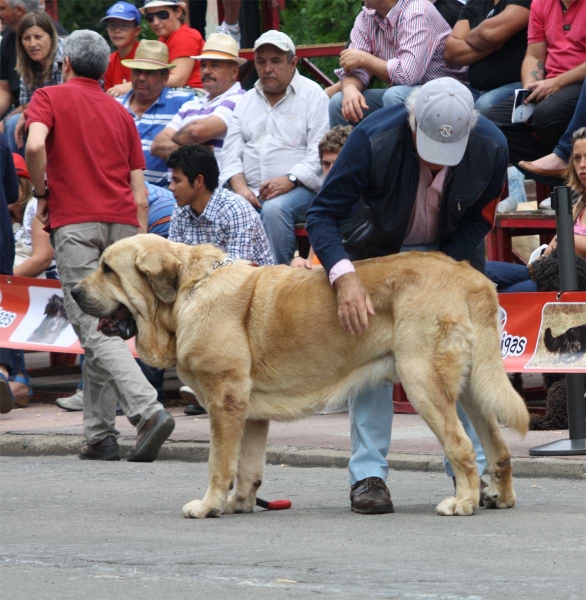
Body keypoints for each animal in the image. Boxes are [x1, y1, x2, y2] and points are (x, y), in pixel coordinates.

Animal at [70, 237, 528, 516]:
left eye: (108, 269)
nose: (72, 291)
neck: (186, 292)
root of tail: (470, 276)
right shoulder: (250, 413)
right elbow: (247, 466)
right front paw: (239, 503)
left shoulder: (223, 401)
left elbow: (219, 462)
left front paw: (208, 506)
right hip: (472, 388)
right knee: (498, 447)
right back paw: (500, 497)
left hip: (424, 385)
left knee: (462, 446)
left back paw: (463, 501)